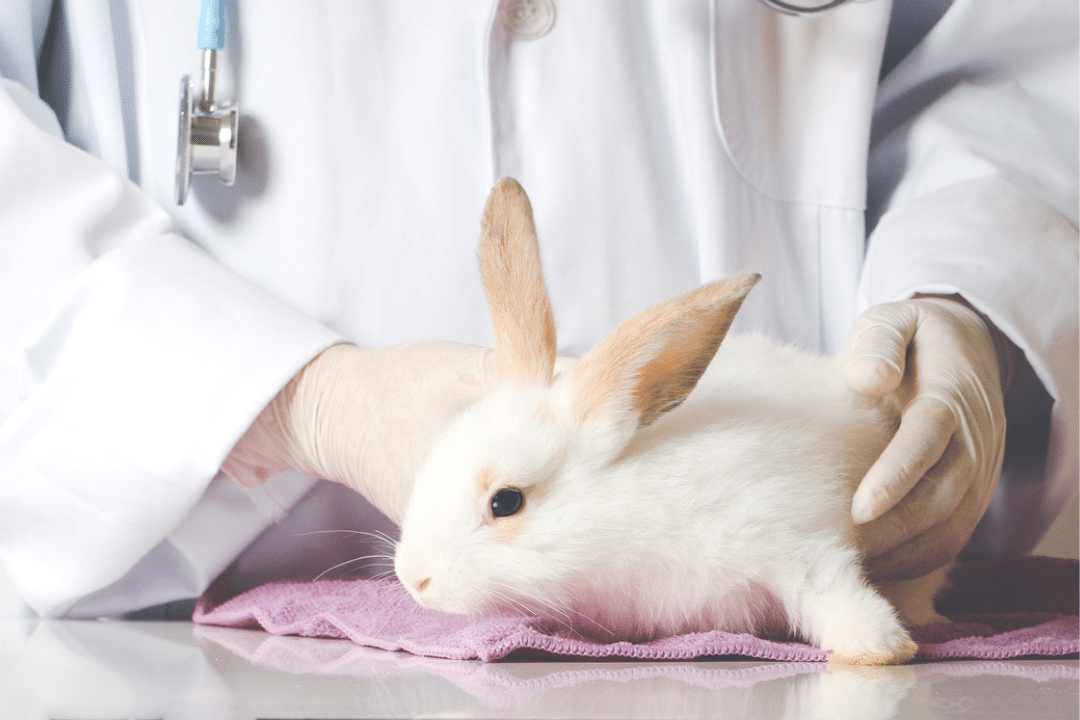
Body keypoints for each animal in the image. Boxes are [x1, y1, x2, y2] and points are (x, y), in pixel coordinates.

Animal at [393, 178, 948, 665]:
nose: (413, 580)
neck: (619, 507)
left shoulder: (788, 536)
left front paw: (880, 647)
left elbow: (829, 588)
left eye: (506, 502)